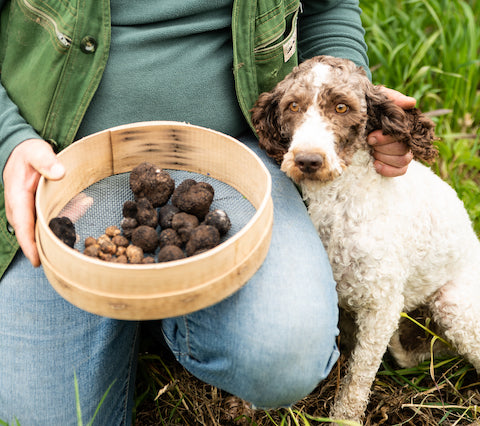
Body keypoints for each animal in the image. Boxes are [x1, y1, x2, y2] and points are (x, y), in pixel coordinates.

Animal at [249, 55, 480, 422]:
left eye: (342, 107)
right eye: (293, 106)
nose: (308, 161)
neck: (340, 201)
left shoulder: (382, 305)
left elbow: (360, 374)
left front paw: (344, 418)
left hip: (455, 306)